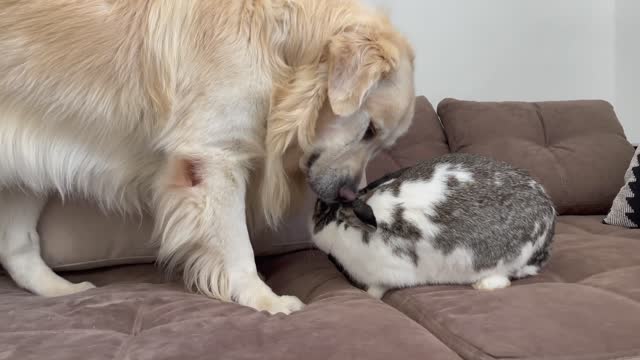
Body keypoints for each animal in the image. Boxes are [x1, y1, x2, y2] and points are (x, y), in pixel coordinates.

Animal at [0, 0, 416, 314]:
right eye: (369, 130)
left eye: (382, 143)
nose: (351, 196)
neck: (279, 39)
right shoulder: (216, 158)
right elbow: (237, 245)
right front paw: (263, 299)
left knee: (17, 247)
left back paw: (62, 291)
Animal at [310, 153, 556, 300]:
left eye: (321, 208)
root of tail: (550, 213)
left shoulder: (388, 272)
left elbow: (377, 288)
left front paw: (370, 296)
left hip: (512, 258)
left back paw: (484, 285)